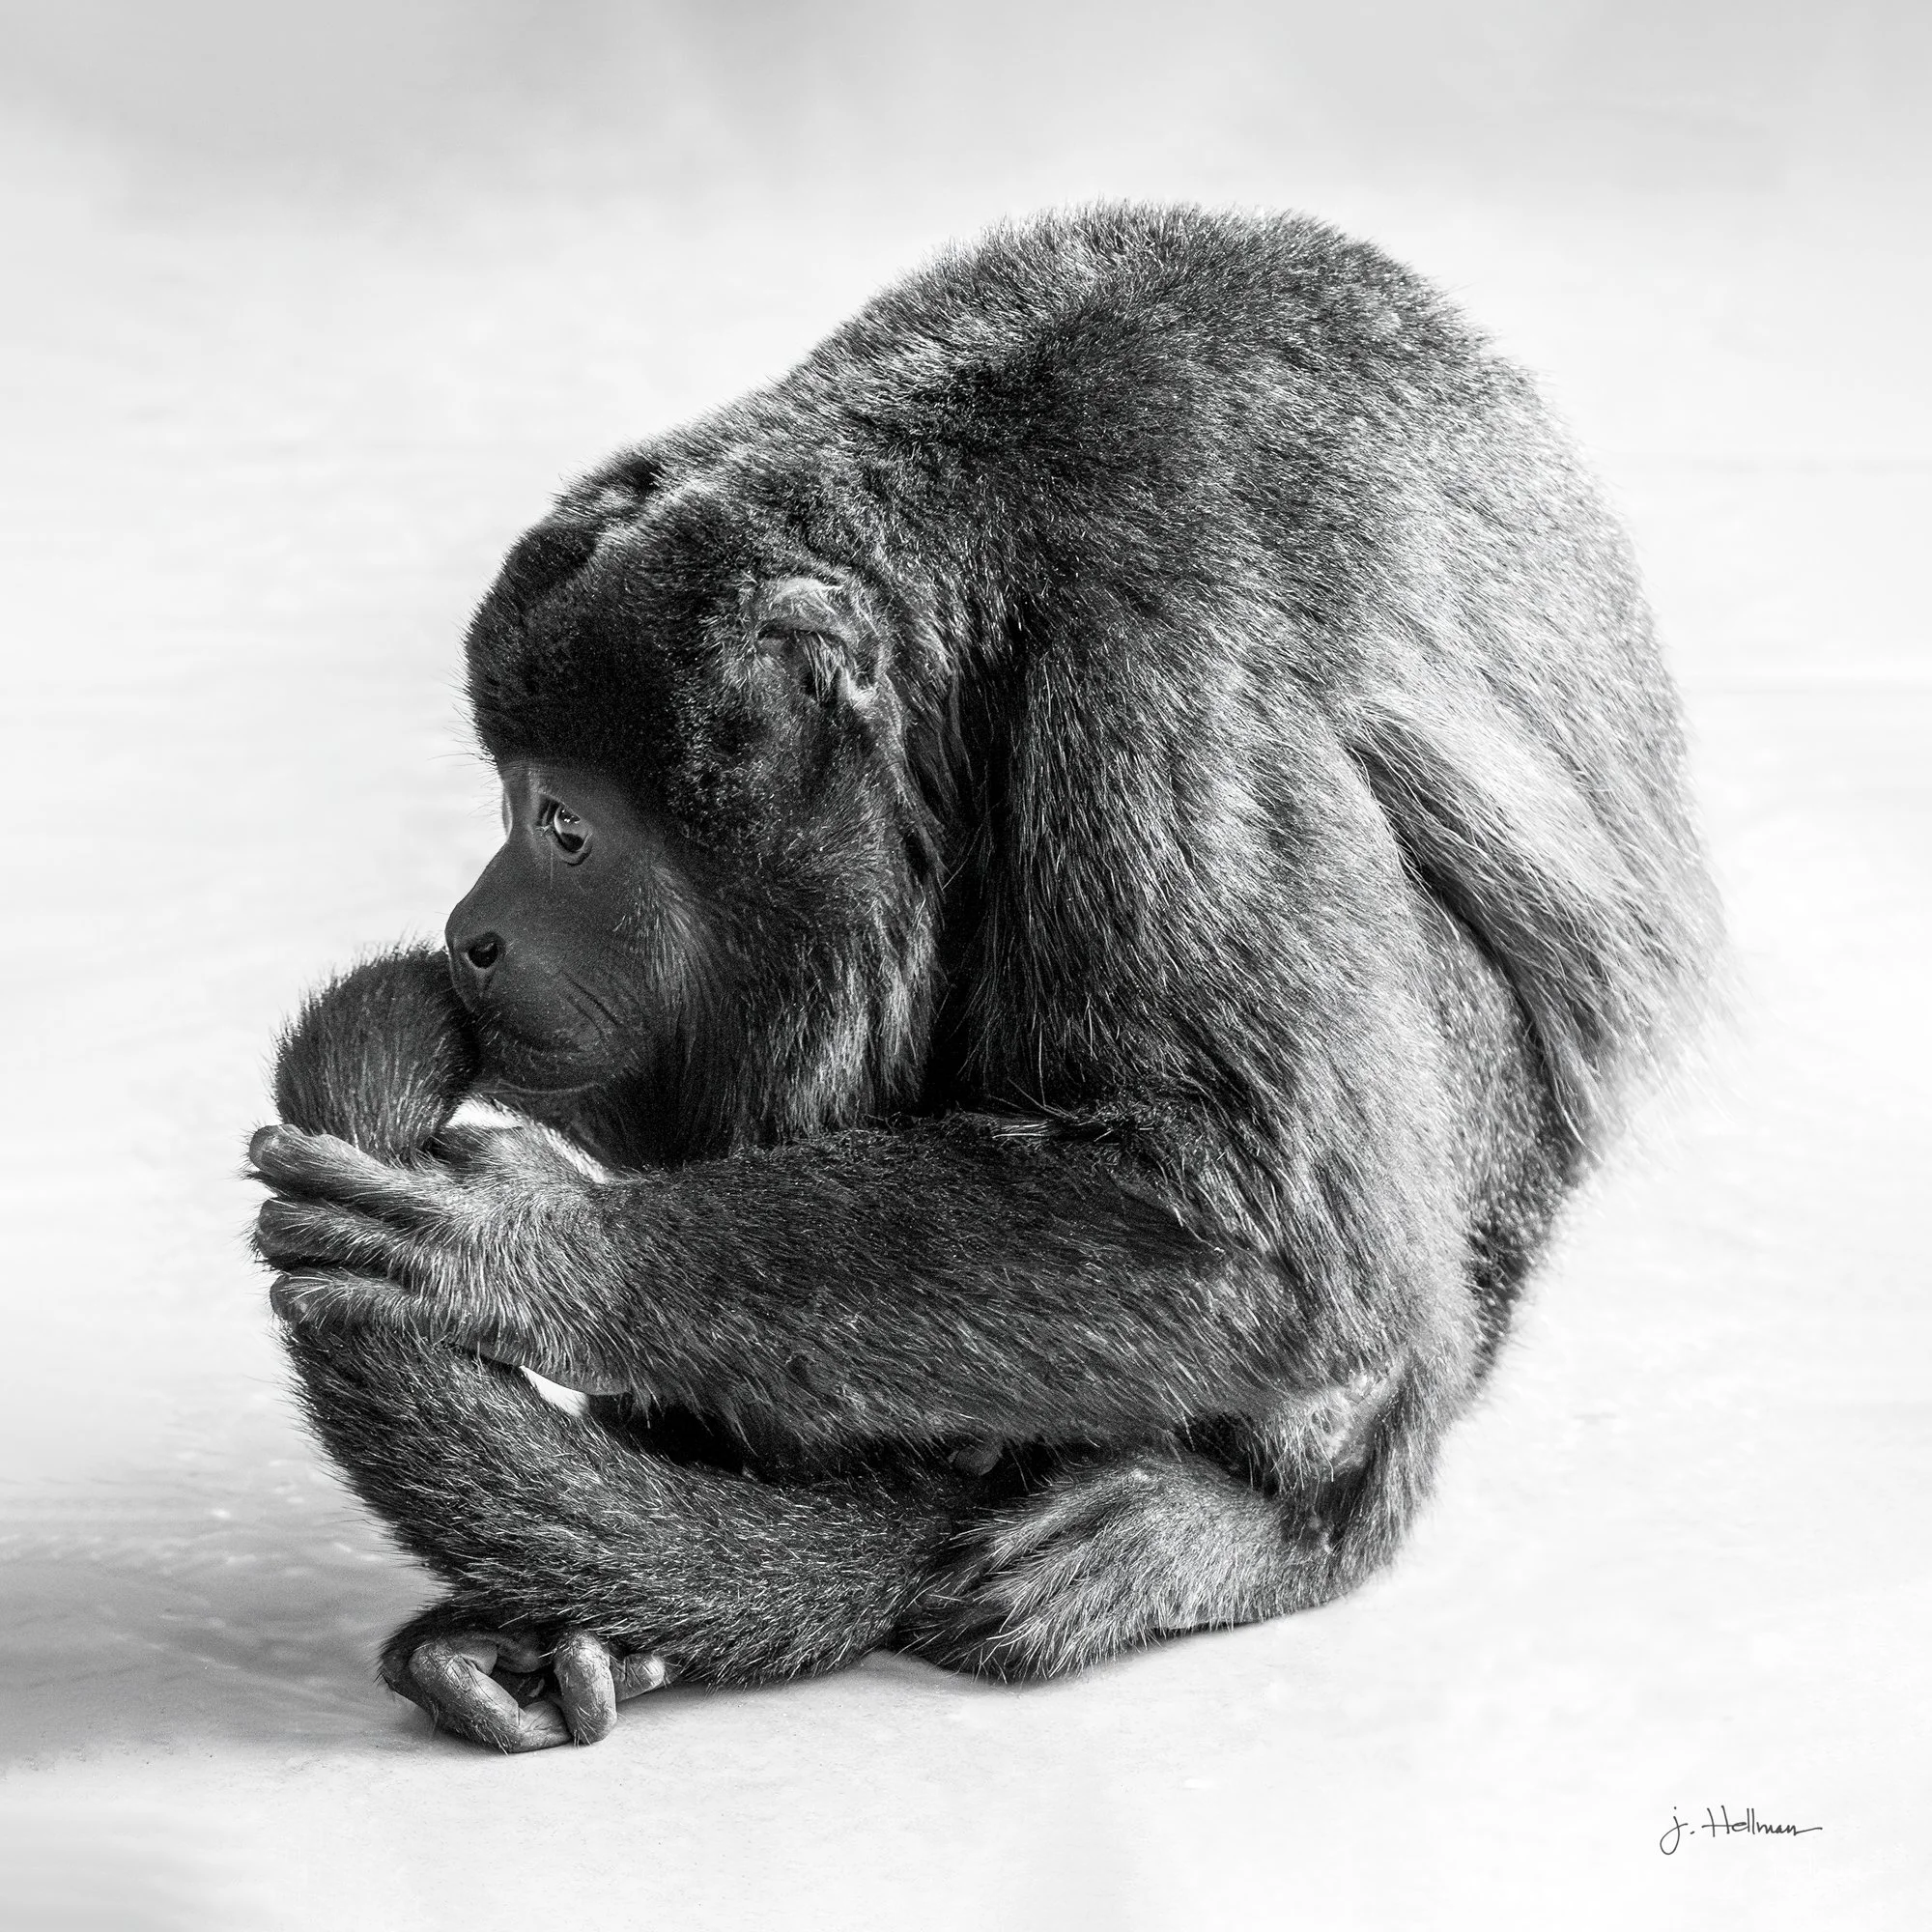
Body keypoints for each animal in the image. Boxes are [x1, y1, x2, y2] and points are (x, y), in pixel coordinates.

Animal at [250, 203, 1719, 1752]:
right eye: (510, 797)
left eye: (564, 827)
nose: (472, 926)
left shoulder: (1150, 678)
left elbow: (1269, 1224)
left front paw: (538, 1252)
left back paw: (1245, 1527)